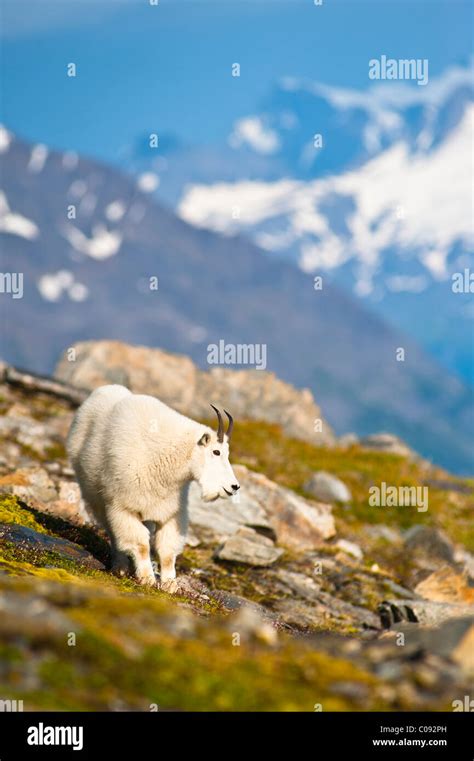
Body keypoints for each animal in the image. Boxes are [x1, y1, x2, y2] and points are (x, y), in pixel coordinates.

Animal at [66, 382, 239, 592]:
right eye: (216, 452)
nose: (234, 486)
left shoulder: (170, 512)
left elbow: (166, 549)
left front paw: (170, 585)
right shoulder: (123, 507)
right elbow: (140, 543)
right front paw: (147, 579)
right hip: (97, 500)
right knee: (113, 533)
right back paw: (120, 567)